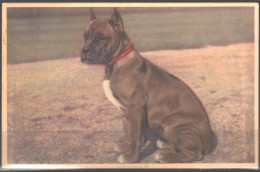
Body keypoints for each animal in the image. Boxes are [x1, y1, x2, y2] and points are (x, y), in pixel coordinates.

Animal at [80, 8, 212, 163]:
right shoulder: (127, 111)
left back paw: (166, 156)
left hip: (176, 128)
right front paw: (126, 147)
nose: (85, 50)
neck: (115, 63)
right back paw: (164, 145)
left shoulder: (135, 107)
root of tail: (208, 143)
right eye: (85, 36)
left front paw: (130, 158)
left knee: (194, 154)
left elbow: (135, 136)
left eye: (102, 38)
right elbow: (129, 132)